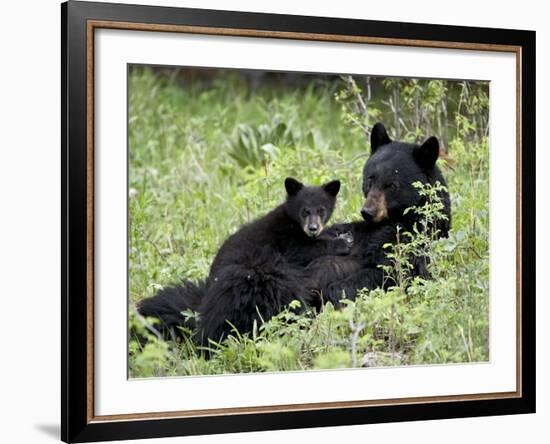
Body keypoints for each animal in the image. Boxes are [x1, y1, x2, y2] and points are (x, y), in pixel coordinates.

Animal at [140, 177, 352, 344]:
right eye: (305, 211)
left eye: (321, 210)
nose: (313, 228)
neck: (294, 225)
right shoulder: (285, 239)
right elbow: (305, 250)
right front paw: (342, 242)